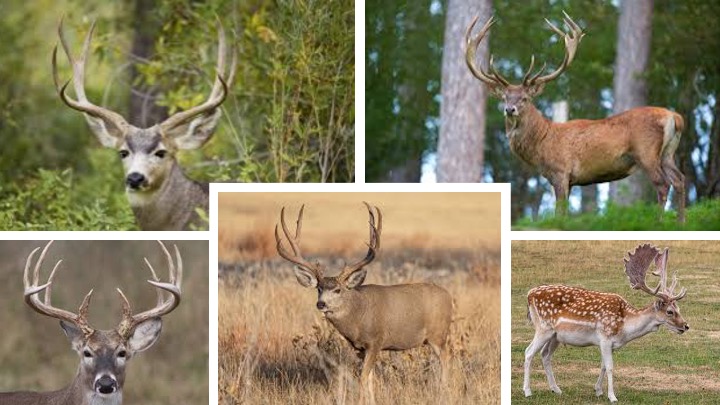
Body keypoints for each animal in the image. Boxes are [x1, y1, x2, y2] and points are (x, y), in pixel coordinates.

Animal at [275, 202, 453, 400]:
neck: (358, 317)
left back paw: (444, 393)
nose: (321, 304)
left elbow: (361, 379)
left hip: (438, 334)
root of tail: (448, 295)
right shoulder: (361, 348)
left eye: (337, 290)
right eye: (319, 288)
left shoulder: (376, 341)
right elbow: (370, 381)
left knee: (446, 361)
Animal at [465, 12, 686, 222]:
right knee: (680, 180)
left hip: (646, 152)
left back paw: (659, 222)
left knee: (663, 184)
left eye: (525, 98)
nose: (509, 109)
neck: (542, 142)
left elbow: (559, 213)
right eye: (504, 97)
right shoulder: (570, 180)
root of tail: (675, 117)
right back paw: (681, 223)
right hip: (668, 153)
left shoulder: (561, 172)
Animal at [523, 243, 689, 403]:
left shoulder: (609, 344)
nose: (686, 326)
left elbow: (602, 365)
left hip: (556, 336)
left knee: (545, 354)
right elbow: (610, 367)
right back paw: (527, 391)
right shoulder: (605, 338)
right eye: (670, 312)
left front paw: (598, 390)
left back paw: (556, 389)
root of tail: (529, 295)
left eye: (678, 308)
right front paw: (612, 396)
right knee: (529, 352)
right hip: (543, 328)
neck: (624, 328)